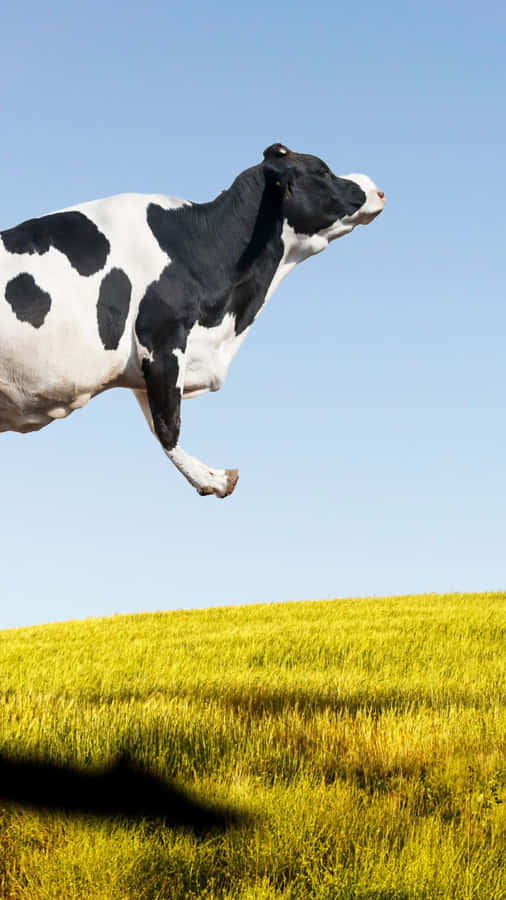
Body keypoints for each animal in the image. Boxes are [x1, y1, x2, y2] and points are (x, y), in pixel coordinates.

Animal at [0, 143, 385, 497]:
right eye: (321, 170)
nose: (377, 189)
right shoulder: (162, 336)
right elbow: (168, 425)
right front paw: (211, 479)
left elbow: (157, 418)